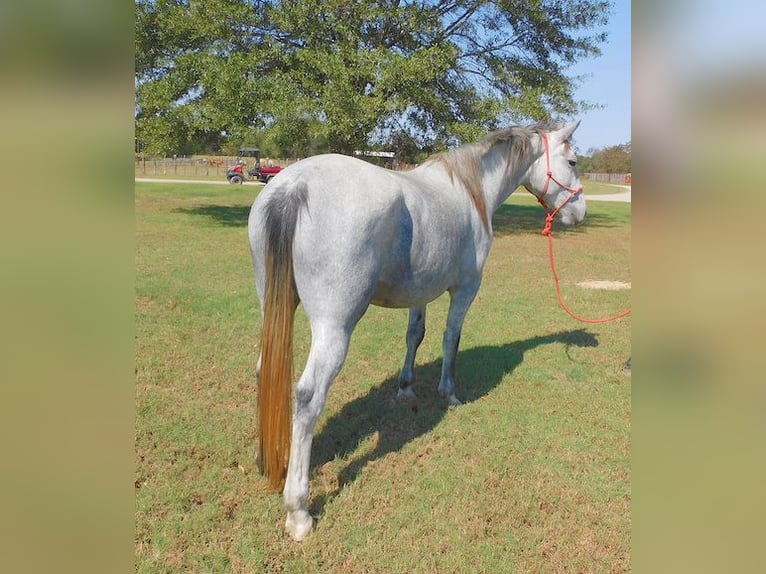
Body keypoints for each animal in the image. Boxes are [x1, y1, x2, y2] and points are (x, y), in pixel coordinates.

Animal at [249, 120, 584, 540]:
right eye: (572, 161)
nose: (581, 211)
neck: (470, 192)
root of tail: (295, 185)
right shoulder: (466, 289)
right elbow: (451, 338)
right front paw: (449, 392)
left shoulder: (419, 292)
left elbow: (415, 336)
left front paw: (405, 388)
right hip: (333, 328)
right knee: (308, 397)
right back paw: (298, 512)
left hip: (272, 309)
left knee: (264, 371)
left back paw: (267, 460)